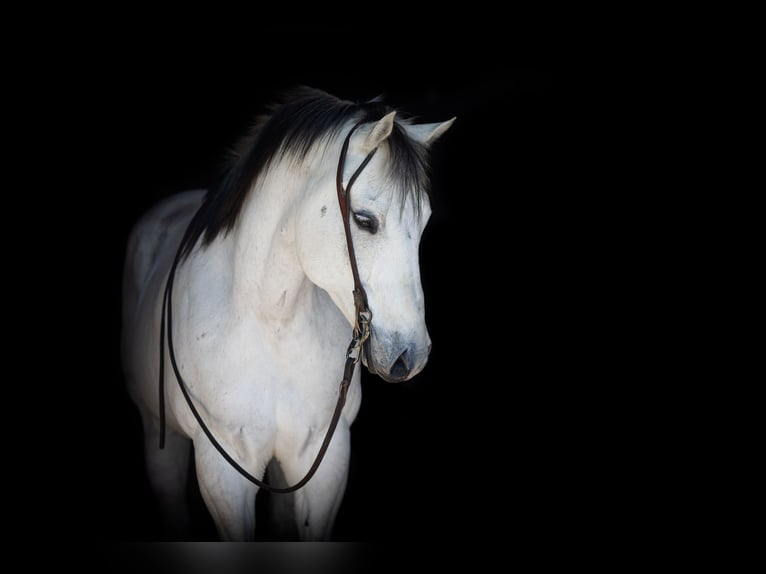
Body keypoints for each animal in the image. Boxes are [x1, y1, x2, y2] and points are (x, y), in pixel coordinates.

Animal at [121, 88, 456, 544]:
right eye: (365, 221)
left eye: (423, 222)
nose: (412, 355)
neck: (272, 321)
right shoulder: (224, 470)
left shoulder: (324, 461)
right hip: (161, 436)